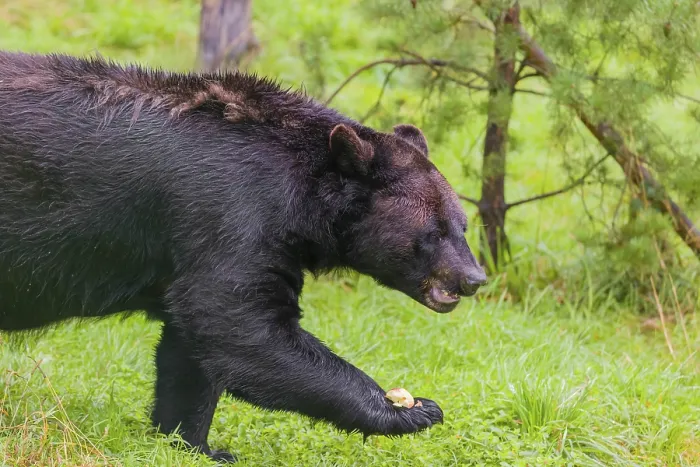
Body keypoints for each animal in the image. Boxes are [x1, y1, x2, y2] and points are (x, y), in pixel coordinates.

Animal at [0, 51, 487, 463]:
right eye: (434, 231)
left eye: (462, 225)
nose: (473, 277)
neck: (304, 194)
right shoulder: (233, 212)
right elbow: (238, 323)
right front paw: (410, 409)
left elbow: (191, 350)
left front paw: (198, 445)